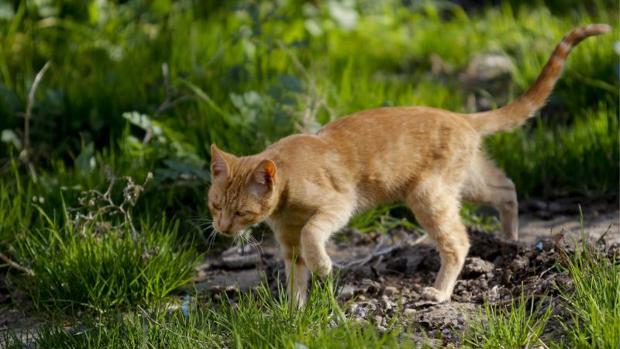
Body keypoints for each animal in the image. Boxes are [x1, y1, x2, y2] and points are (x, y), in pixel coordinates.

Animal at [207, 24, 612, 304]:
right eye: (215, 206)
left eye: (241, 211)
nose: (222, 229)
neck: (286, 199)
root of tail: (463, 117)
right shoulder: (289, 246)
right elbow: (295, 280)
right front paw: (294, 315)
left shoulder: (338, 205)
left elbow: (312, 235)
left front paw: (323, 267)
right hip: (466, 182)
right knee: (506, 188)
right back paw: (510, 241)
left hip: (429, 194)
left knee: (459, 242)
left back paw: (440, 292)